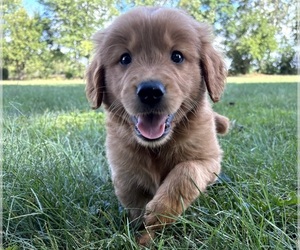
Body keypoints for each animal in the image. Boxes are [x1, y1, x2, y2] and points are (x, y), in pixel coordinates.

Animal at [85, 6, 229, 246]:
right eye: (125, 58)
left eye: (177, 56)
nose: (150, 91)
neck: (156, 147)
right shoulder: (124, 171)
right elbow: (134, 203)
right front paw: (141, 237)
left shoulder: (208, 159)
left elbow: (186, 171)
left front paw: (161, 212)